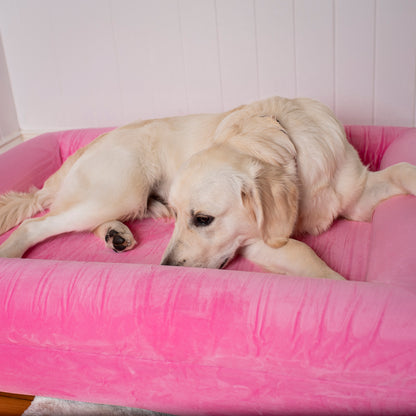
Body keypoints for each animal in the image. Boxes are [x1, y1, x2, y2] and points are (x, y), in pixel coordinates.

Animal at [0, 96, 416, 280]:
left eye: (202, 219)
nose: (166, 269)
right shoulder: (256, 240)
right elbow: (305, 254)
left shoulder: (358, 194)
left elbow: (403, 169)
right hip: (118, 190)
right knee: (39, 223)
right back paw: (10, 253)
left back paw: (117, 234)